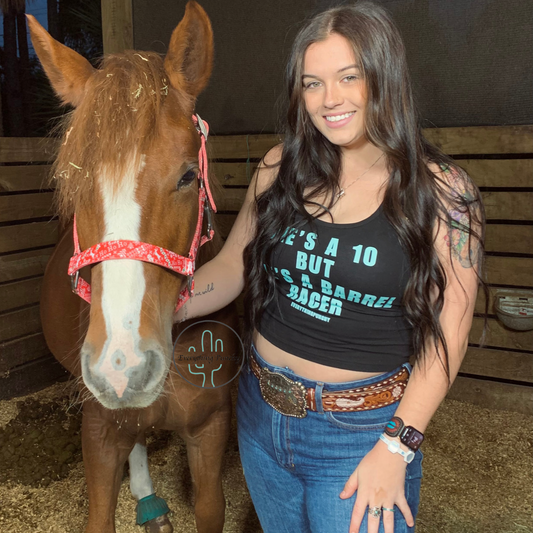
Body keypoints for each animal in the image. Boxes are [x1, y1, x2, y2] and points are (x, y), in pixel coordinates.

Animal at [27, 2, 239, 528]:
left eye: (189, 175)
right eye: (71, 182)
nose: (121, 366)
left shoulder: (210, 427)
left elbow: (210, 509)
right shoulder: (101, 433)